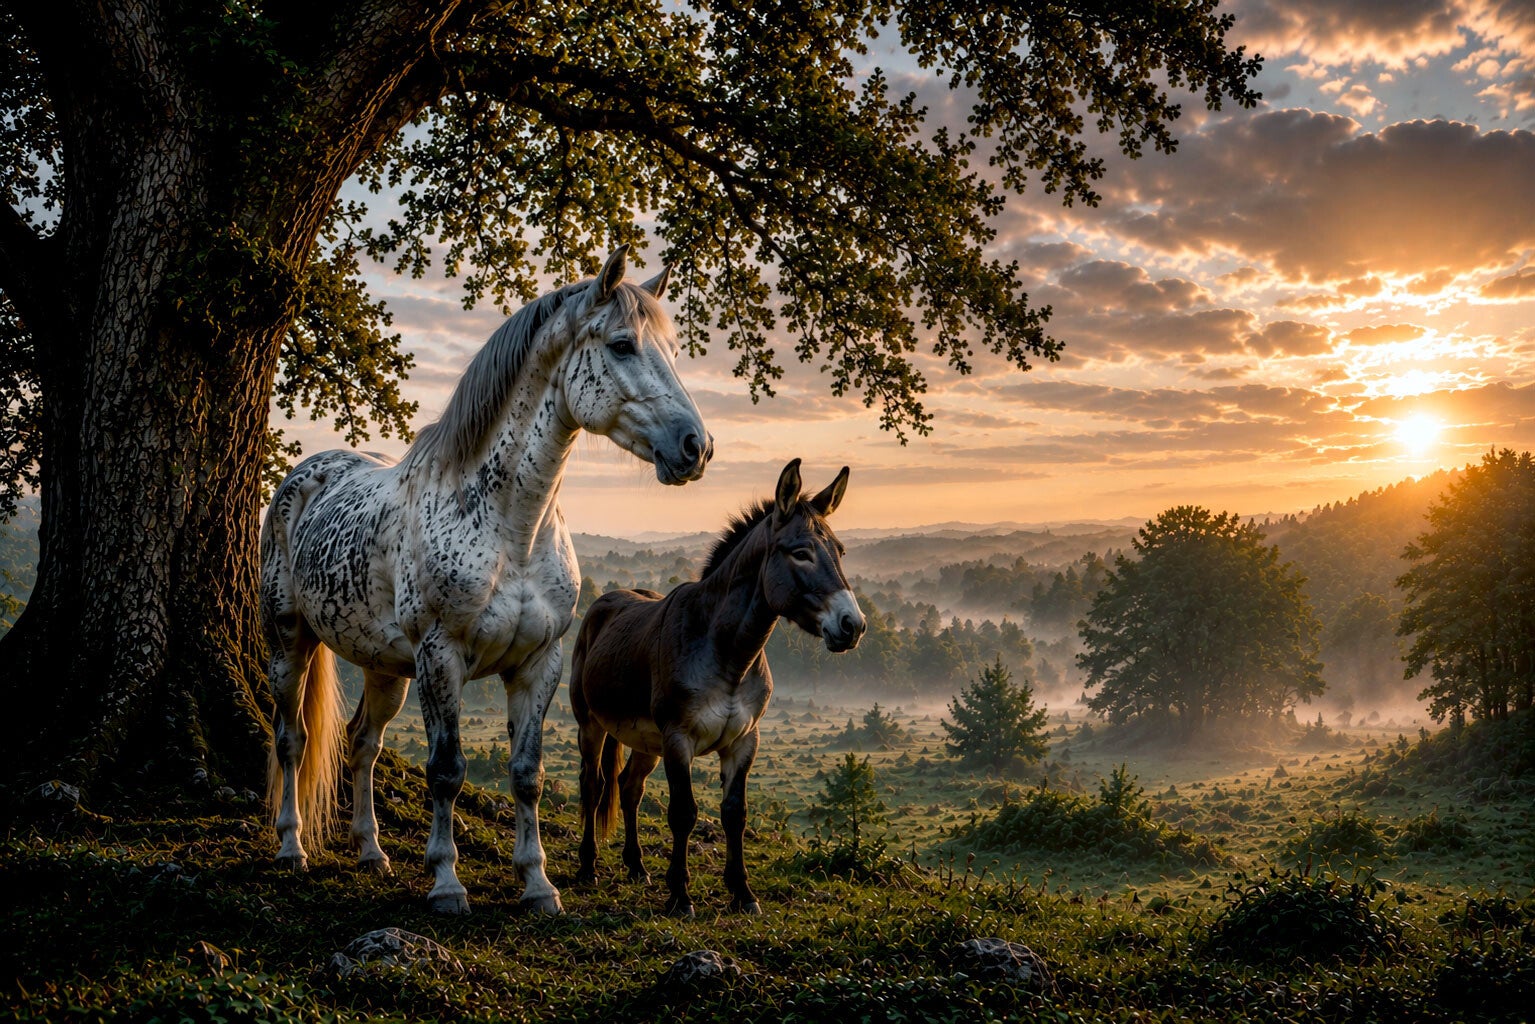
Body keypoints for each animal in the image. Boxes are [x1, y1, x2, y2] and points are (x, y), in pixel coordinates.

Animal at [260, 246, 711, 915]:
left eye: (675, 350)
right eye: (623, 345)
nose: (695, 447)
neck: (511, 532)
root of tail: (306, 473)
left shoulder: (538, 663)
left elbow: (528, 774)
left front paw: (539, 884)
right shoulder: (441, 657)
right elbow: (446, 770)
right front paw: (447, 883)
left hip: (384, 667)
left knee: (363, 743)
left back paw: (371, 851)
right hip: (291, 641)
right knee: (292, 739)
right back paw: (292, 847)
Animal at [569, 458, 866, 916]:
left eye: (840, 552)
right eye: (800, 552)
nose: (853, 626)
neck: (729, 654)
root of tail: (607, 600)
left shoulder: (744, 740)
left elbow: (734, 814)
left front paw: (742, 892)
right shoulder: (678, 739)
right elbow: (683, 813)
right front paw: (680, 896)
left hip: (644, 740)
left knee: (629, 787)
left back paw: (636, 867)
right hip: (592, 725)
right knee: (593, 784)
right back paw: (588, 867)